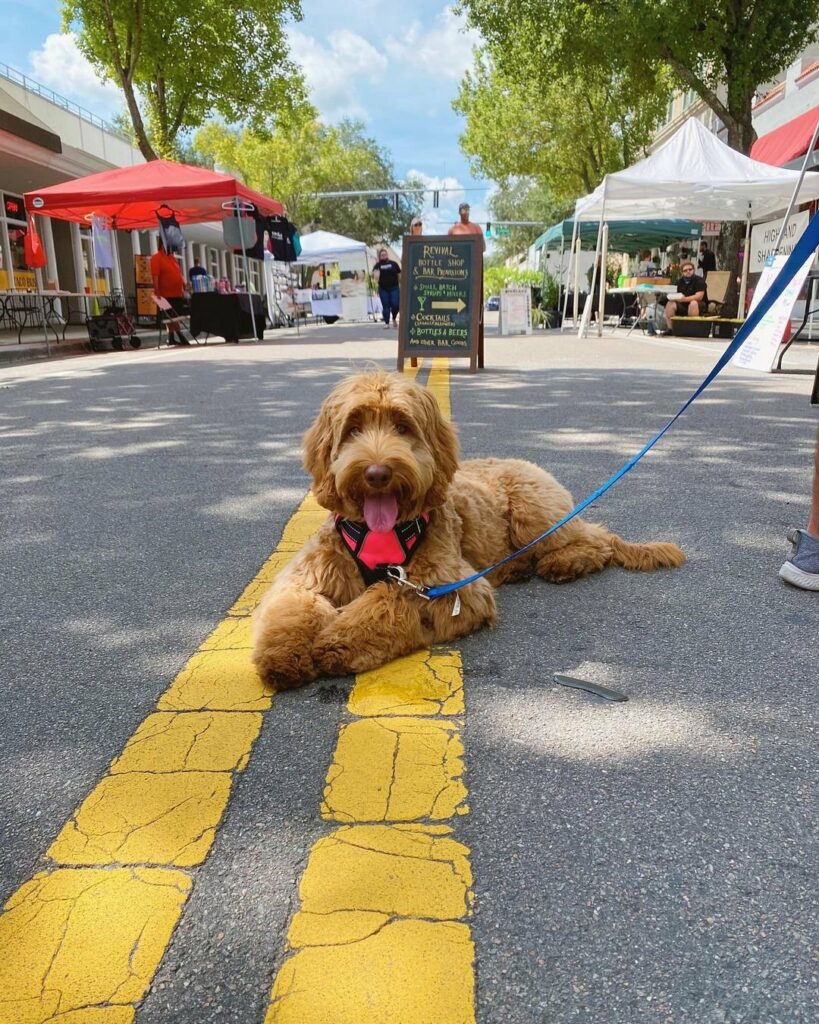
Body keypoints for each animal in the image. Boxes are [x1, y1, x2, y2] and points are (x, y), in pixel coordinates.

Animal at [250, 368, 683, 688]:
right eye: (353, 428)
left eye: (403, 427)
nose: (377, 473)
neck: (381, 533)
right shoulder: (309, 574)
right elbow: (292, 608)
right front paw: (283, 655)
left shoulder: (447, 587)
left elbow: (386, 601)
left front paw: (334, 642)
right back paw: (516, 567)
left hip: (535, 513)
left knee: (598, 540)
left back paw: (564, 563)